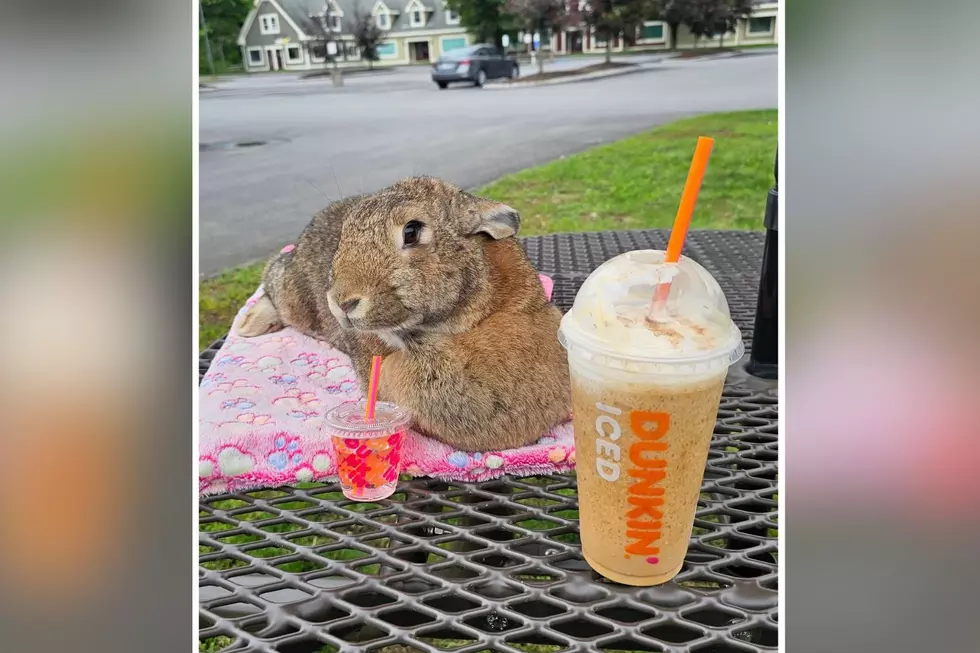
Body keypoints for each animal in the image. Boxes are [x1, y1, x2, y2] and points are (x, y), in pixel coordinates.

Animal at [237, 176, 571, 451]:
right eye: (346, 233)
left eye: (412, 231)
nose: (342, 303)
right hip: (294, 296)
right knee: (272, 279)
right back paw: (249, 324)